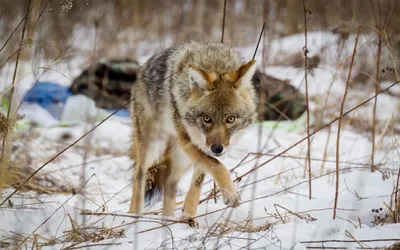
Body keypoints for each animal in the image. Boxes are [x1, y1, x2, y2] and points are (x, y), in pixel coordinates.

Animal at [129, 40, 260, 225]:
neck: (216, 63)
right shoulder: (188, 142)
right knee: (139, 176)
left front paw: (188, 217)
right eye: (206, 118)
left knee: (170, 183)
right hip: (154, 148)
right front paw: (231, 194)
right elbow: (217, 166)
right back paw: (133, 218)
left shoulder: (202, 148)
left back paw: (168, 221)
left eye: (230, 119)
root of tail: (141, 70)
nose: (217, 149)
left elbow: (198, 183)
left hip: (181, 159)